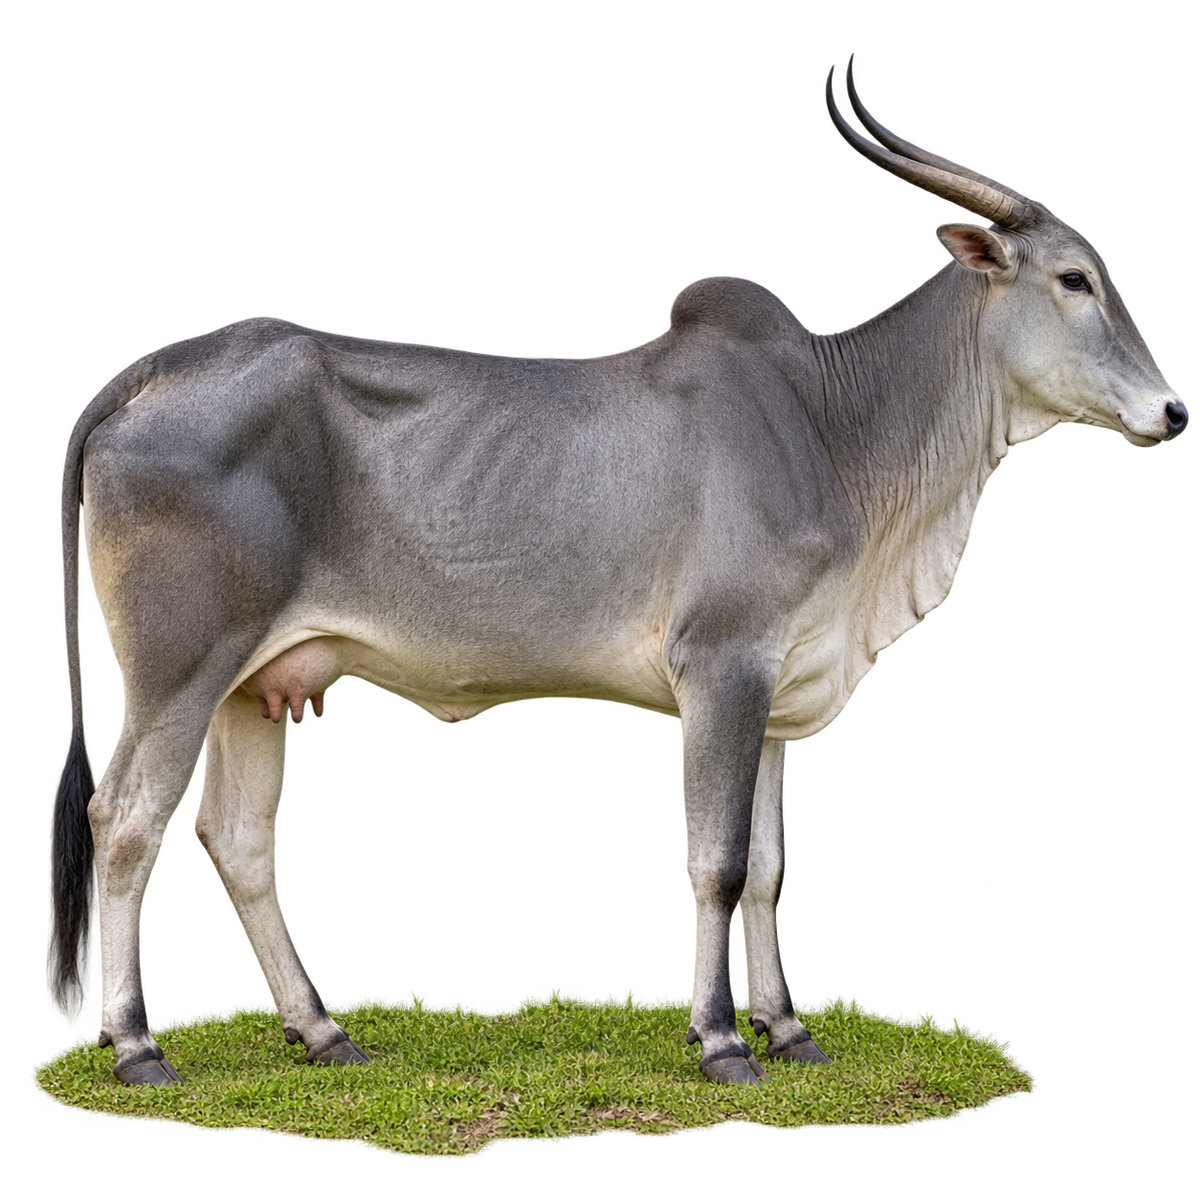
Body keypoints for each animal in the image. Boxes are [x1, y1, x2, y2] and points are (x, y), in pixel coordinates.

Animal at [48, 52, 1188, 1088]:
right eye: (1075, 278)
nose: (1175, 410)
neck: (835, 428)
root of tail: (169, 364)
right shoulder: (722, 664)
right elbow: (717, 864)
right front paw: (723, 1040)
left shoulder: (778, 686)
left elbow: (768, 865)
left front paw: (788, 1029)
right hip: (179, 669)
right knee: (127, 823)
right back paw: (138, 1045)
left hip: (257, 682)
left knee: (237, 840)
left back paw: (322, 1032)